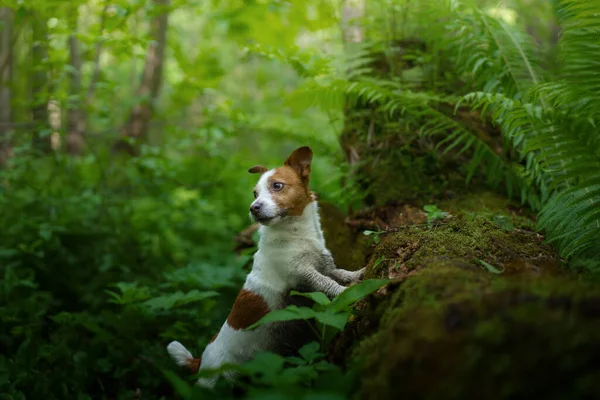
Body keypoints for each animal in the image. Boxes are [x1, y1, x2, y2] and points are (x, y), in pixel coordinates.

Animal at [166, 147, 364, 388]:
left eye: (277, 186)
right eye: (254, 194)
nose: (253, 208)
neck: (297, 234)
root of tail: (201, 360)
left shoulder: (324, 266)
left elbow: (341, 273)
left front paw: (359, 273)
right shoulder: (303, 275)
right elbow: (328, 284)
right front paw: (348, 292)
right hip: (212, 383)